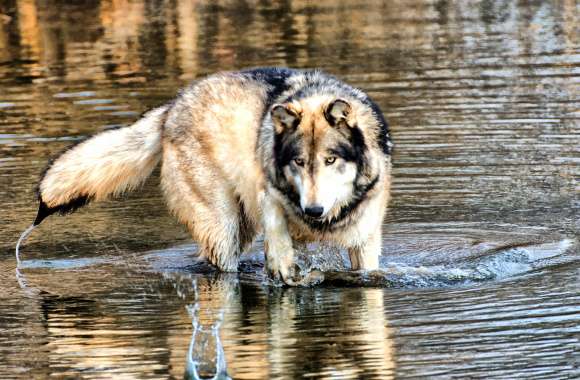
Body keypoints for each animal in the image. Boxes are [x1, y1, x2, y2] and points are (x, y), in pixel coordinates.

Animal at [32, 67, 394, 284]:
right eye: (300, 162)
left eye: (330, 160)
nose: (313, 210)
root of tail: (172, 106)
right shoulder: (268, 192)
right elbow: (277, 228)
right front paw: (282, 267)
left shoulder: (365, 239)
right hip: (224, 227)